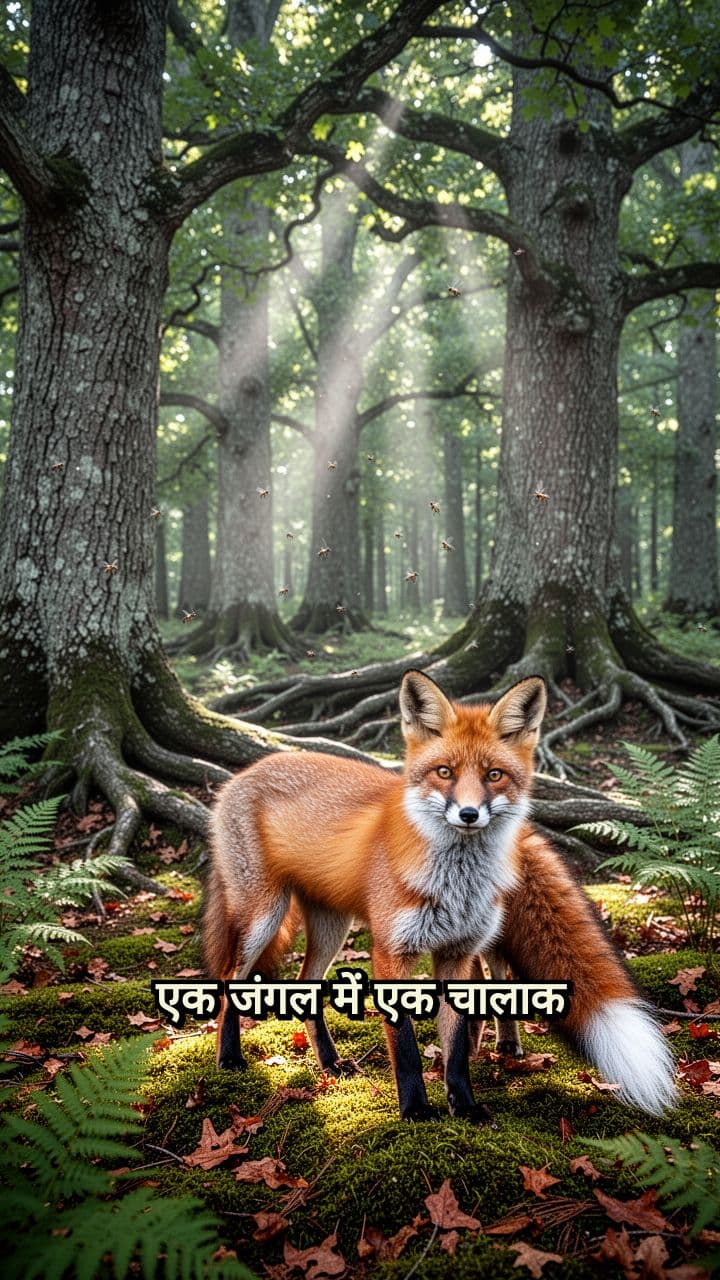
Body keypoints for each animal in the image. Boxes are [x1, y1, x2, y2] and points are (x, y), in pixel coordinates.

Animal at [204, 670, 678, 1123]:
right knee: (229, 980)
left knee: (308, 989)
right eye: (444, 772)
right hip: (263, 916)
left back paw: (333, 1063)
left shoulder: (457, 952)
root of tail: (242, 773)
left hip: (334, 926)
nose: (468, 814)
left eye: (493, 775)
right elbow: (407, 1049)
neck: (455, 886)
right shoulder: (391, 954)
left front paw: (463, 1105)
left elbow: (455, 1049)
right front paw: (415, 1110)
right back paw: (229, 1057)